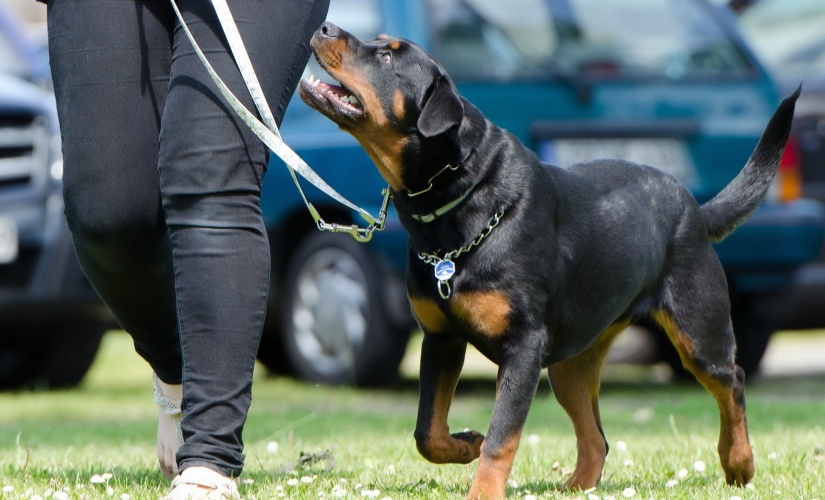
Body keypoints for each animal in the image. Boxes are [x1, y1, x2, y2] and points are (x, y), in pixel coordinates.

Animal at [298, 21, 800, 498]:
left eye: (386, 56)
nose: (324, 27)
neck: (457, 201)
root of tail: (696, 208)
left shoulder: (523, 348)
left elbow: (502, 437)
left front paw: (482, 489)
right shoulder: (441, 337)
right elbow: (428, 432)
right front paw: (465, 444)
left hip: (697, 327)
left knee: (731, 381)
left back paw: (739, 463)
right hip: (570, 363)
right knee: (596, 437)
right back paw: (577, 485)